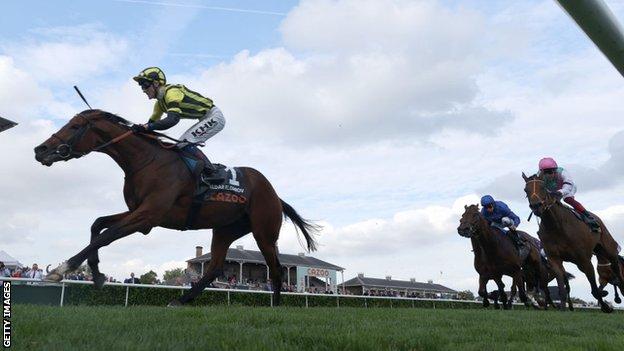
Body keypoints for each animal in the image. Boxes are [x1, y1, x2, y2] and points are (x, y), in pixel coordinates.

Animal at [33, 108, 322, 306]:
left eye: (75, 126)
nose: (40, 149)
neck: (146, 161)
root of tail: (275, 194)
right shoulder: (140, 214)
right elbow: (98, 225)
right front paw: (97, 275)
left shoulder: (148, 215)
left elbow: (107, 235)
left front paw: (61, 270)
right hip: (225, 230)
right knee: (215, 267)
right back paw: (182, 300)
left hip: (264, 232)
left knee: (276, 268)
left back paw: (277, 305)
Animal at [520, 173, 620, 314]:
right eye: (525, 190)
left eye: (543, 187)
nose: (536, 206)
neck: (556, 226)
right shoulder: (554, 259)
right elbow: (562, 287)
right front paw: (562, 307)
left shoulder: (584, 261)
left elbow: (594, 289)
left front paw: (606, 306)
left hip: (608, 248)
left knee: (616, 266)